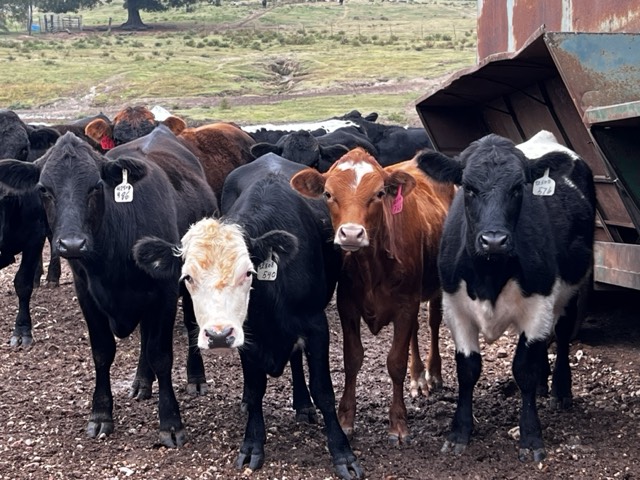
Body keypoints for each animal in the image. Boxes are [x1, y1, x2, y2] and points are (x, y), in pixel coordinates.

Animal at [0, 127, 218, 447]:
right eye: (43, 189)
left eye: (95, 186)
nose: (72, 244)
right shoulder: (87, 295)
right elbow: (103, 352)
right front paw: (101, 415)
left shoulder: (165, 292)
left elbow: (161, 355)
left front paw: (170, 422)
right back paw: (141, 382)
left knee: (190, 325)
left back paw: (196, 378)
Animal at [133, 153, 362, 479]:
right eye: (187, 277)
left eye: (248, 273)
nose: (218, 335)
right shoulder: (248, 337)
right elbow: (255, 391)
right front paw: (252, 444)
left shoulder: (317, 326)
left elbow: (324, 390)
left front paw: (343, 453)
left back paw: (303, 405)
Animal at [290, 147, 455, 444]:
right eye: (328, 194)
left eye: (379, 194)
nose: (351, 234)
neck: (371, 265)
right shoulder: (347, 304)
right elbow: (352, 358)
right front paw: (345, 419)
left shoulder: (406, 304)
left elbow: (396, 362)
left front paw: (398, 423)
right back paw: (417, 377)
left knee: (433, 322)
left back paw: (432, 373)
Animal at [415, 131, 596, 462]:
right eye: (469, 188)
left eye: (517, 188)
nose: (494, 240)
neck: (490, 275)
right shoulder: (455, 307)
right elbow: (468, 370)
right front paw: (459, 432)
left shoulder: (539, 304)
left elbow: (524, 369)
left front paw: (531, 436)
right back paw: (544, 385)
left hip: (575, 284)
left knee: (562, 334)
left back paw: (560, 390)